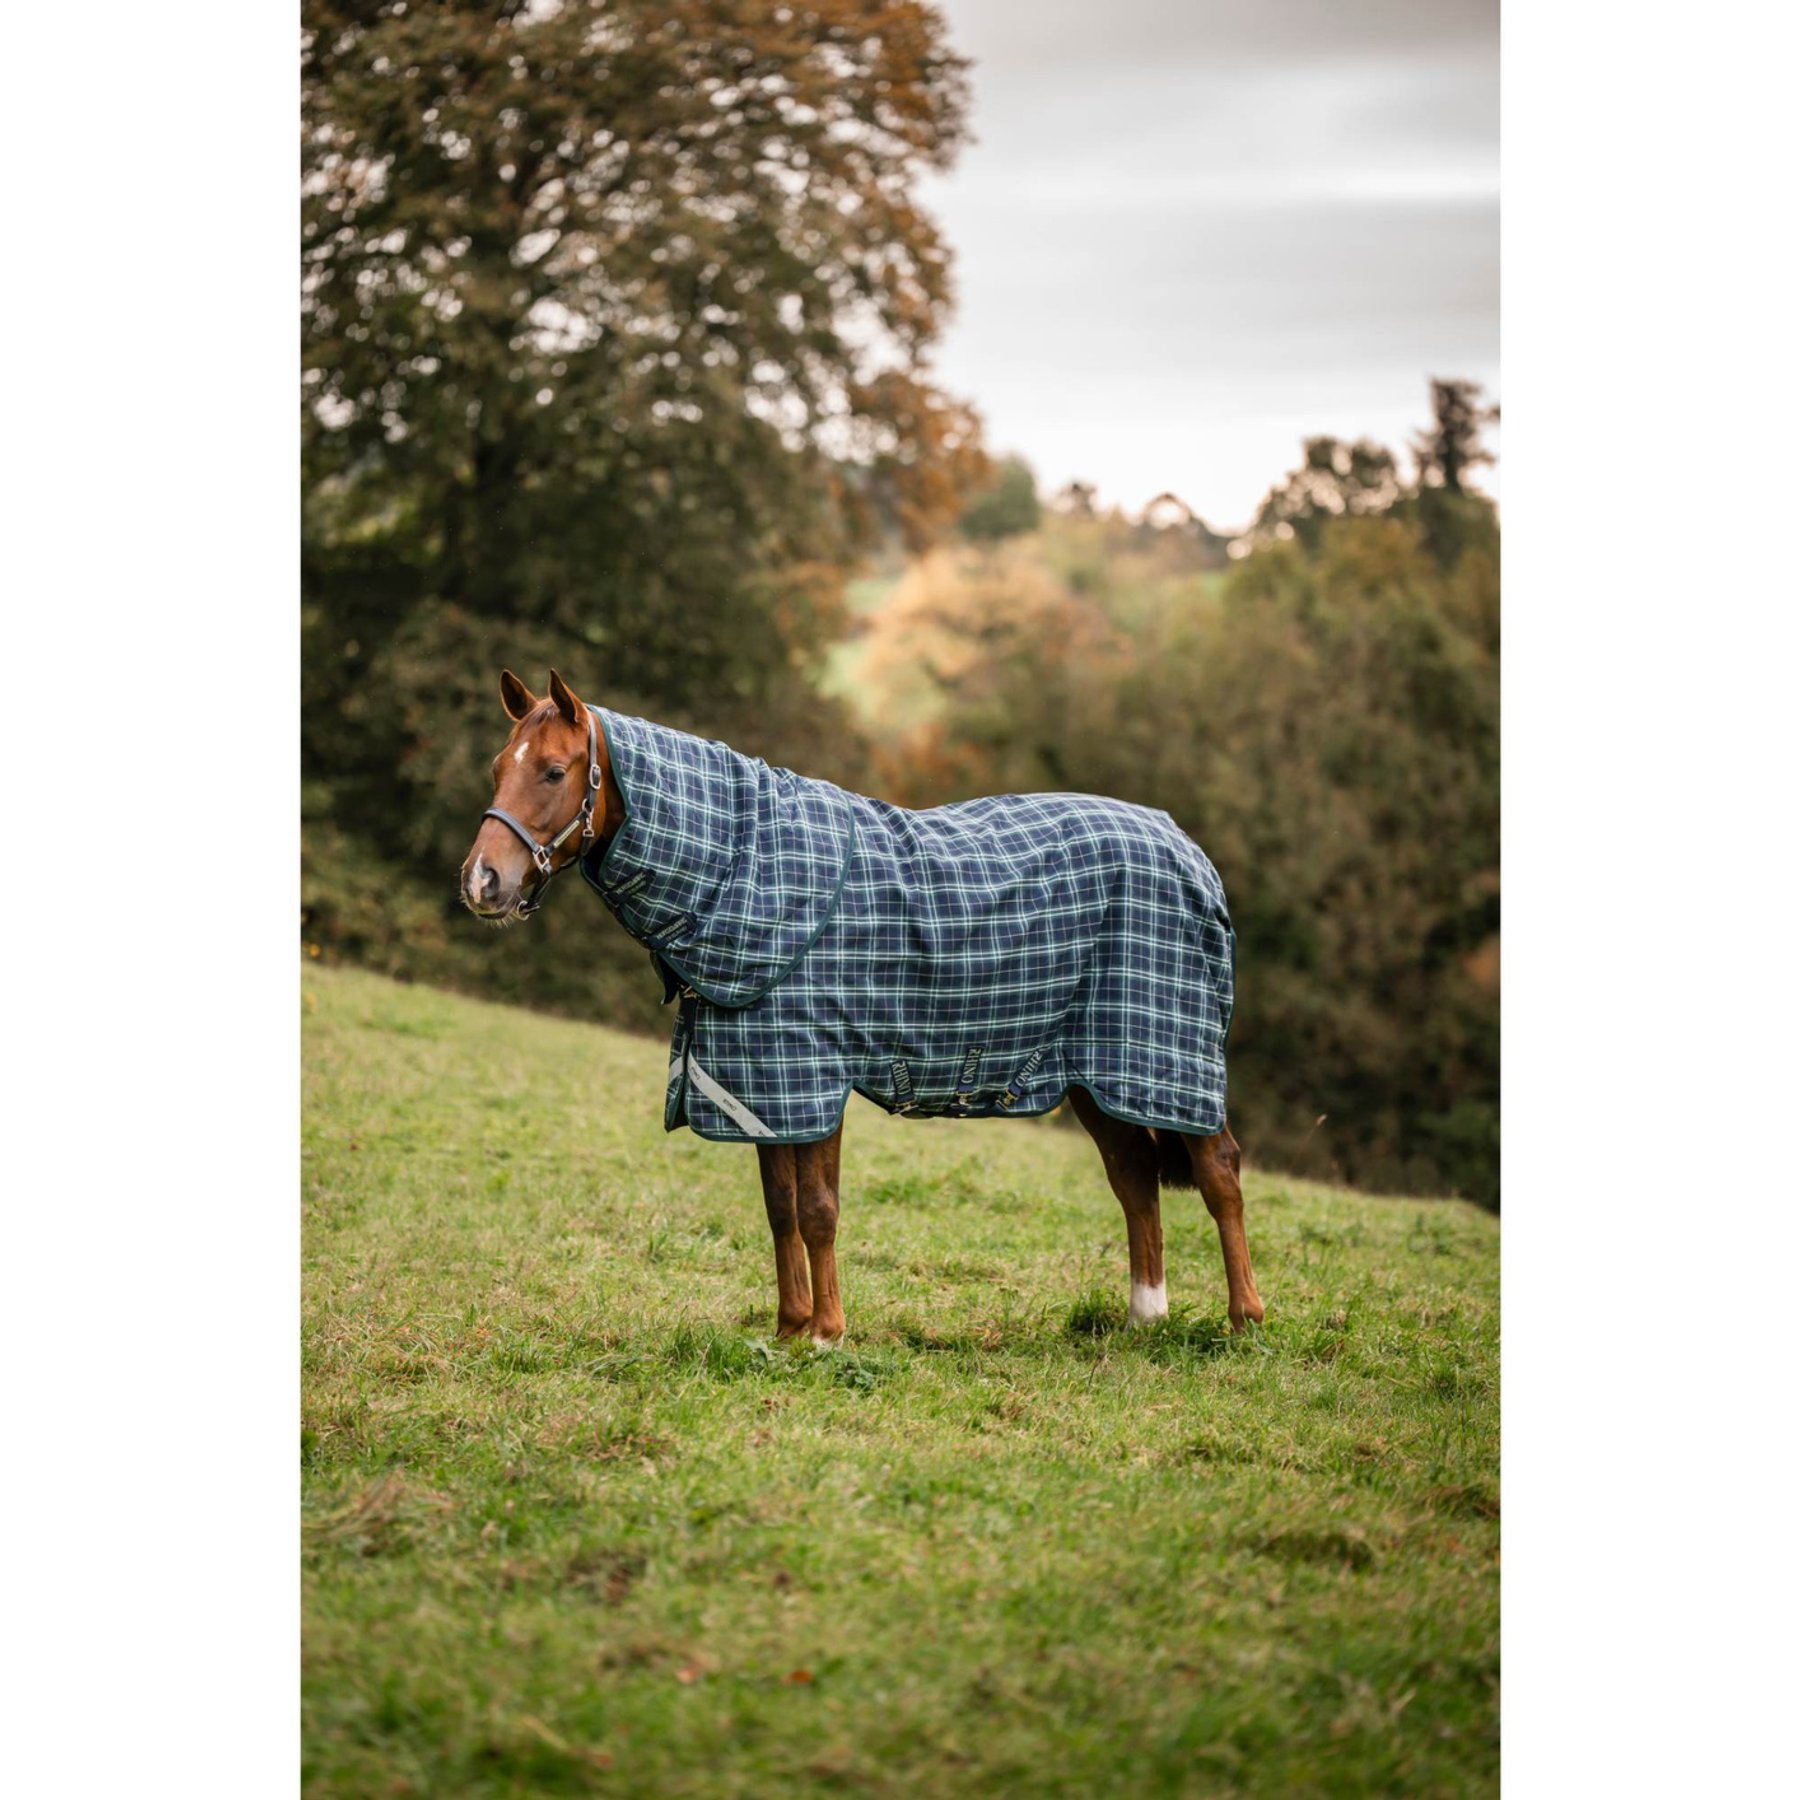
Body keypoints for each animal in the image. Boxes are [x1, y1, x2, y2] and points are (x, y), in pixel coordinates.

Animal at [460, 668, 1265, 1346]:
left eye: (554, 771)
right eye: (499, 767)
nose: (481, 881)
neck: (747, 871)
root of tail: (1189, 850)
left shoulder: (815, 1071)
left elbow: (818, 1208)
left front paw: (827, 1334)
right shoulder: (764, 1081)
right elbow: (779, 1207)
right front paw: (788, 1331)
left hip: (1168, 1057)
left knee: (1219, 1171)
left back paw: (1243, 1320)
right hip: (1097, 1072)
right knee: (1134, 1177)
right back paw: (1143, 1319)